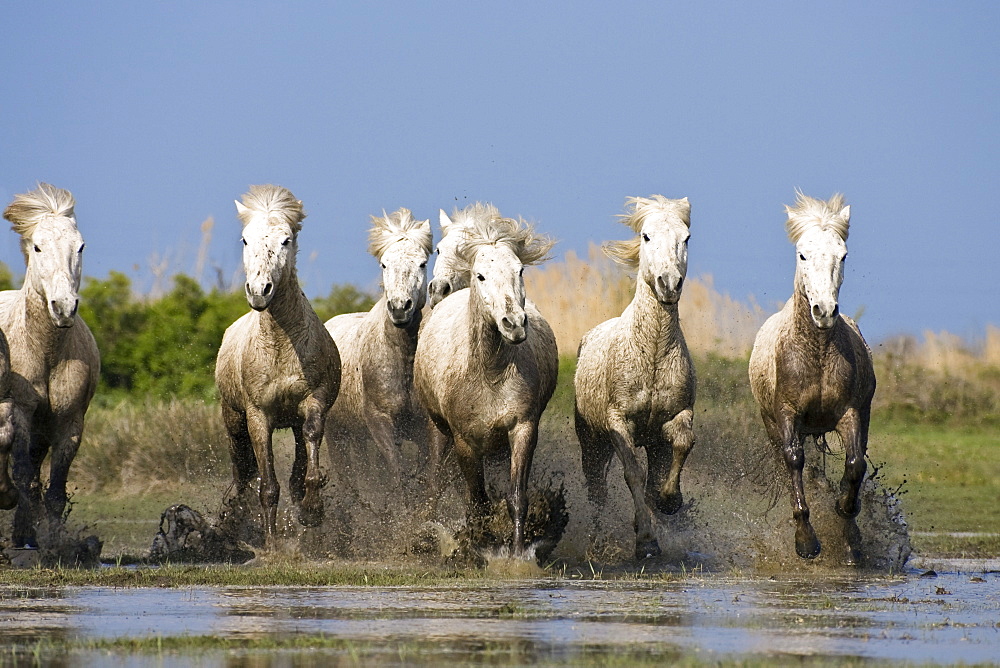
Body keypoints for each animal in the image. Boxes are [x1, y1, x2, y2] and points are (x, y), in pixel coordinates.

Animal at [0, 183, 100, 548]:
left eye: (81, 246)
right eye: (38, 246)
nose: (64, 307)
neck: (45, 352)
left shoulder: (70, 423)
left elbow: (55, 490)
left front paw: (56, 541)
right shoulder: (21, 415)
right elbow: (24, 477)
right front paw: (26, 537)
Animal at [326, 209, 432, 486]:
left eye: (422, 263)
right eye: (384, 264)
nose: (400, 307)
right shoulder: (379, 421)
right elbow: (397, 473)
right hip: (337, 435)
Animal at [412, 213, 560, 552]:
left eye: (520, 270)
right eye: (480, 276)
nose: (514, 324)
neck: (490, 373)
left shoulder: (523, 429)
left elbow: (516, 498)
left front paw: (516, 554)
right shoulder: (465, 441)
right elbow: (477, 503)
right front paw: (476, 548)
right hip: (438, 430)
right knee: (435, 483)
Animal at [576, 196, 700, 560]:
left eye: (686, 238)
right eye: (645, 236)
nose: (669, 283)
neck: (652, 353)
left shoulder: (675, 418)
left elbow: (682, 445)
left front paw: (670, 501)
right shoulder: (618, 423)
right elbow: (633, 473)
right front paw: (646, 541)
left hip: (653, 444)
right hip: (593, 442)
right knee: (597, 491)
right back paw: (596, 542)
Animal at [752, 190, 876, 560]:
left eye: (843, 255)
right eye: (802, 254)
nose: (824, 311)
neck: (816, 355)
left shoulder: (850, 412)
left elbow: (855, 465)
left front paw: (848, 526)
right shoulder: (786, 413)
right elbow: (794, 461)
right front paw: (805, 542)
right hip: (772, 424)